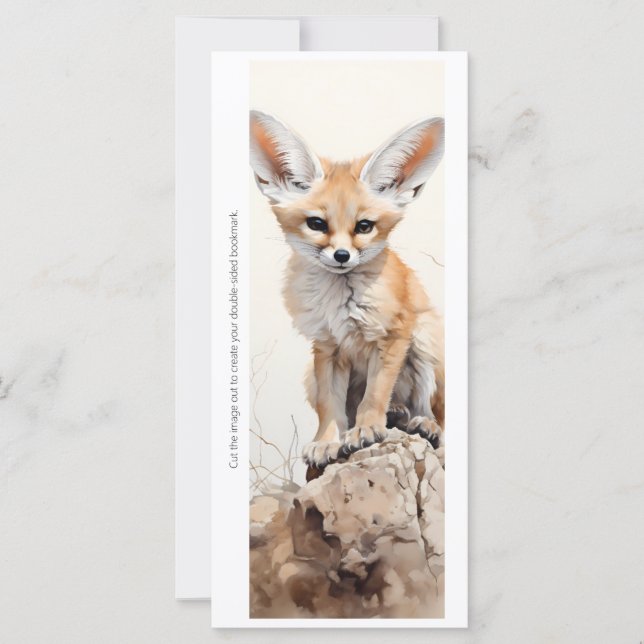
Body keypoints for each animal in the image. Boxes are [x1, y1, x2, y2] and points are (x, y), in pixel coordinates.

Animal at [249, 110, 445, 471]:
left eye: (364, 227)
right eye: (316, 224)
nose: (342, 256)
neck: (340, 304)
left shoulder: (392, 338)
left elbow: (375, 394)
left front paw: (367, 429)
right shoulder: (326, 348)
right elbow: (331, 407)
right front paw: (326, 442)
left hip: (424, 342)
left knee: (431, 408)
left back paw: (423, 423)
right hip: (310, 376)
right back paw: (396, 414)